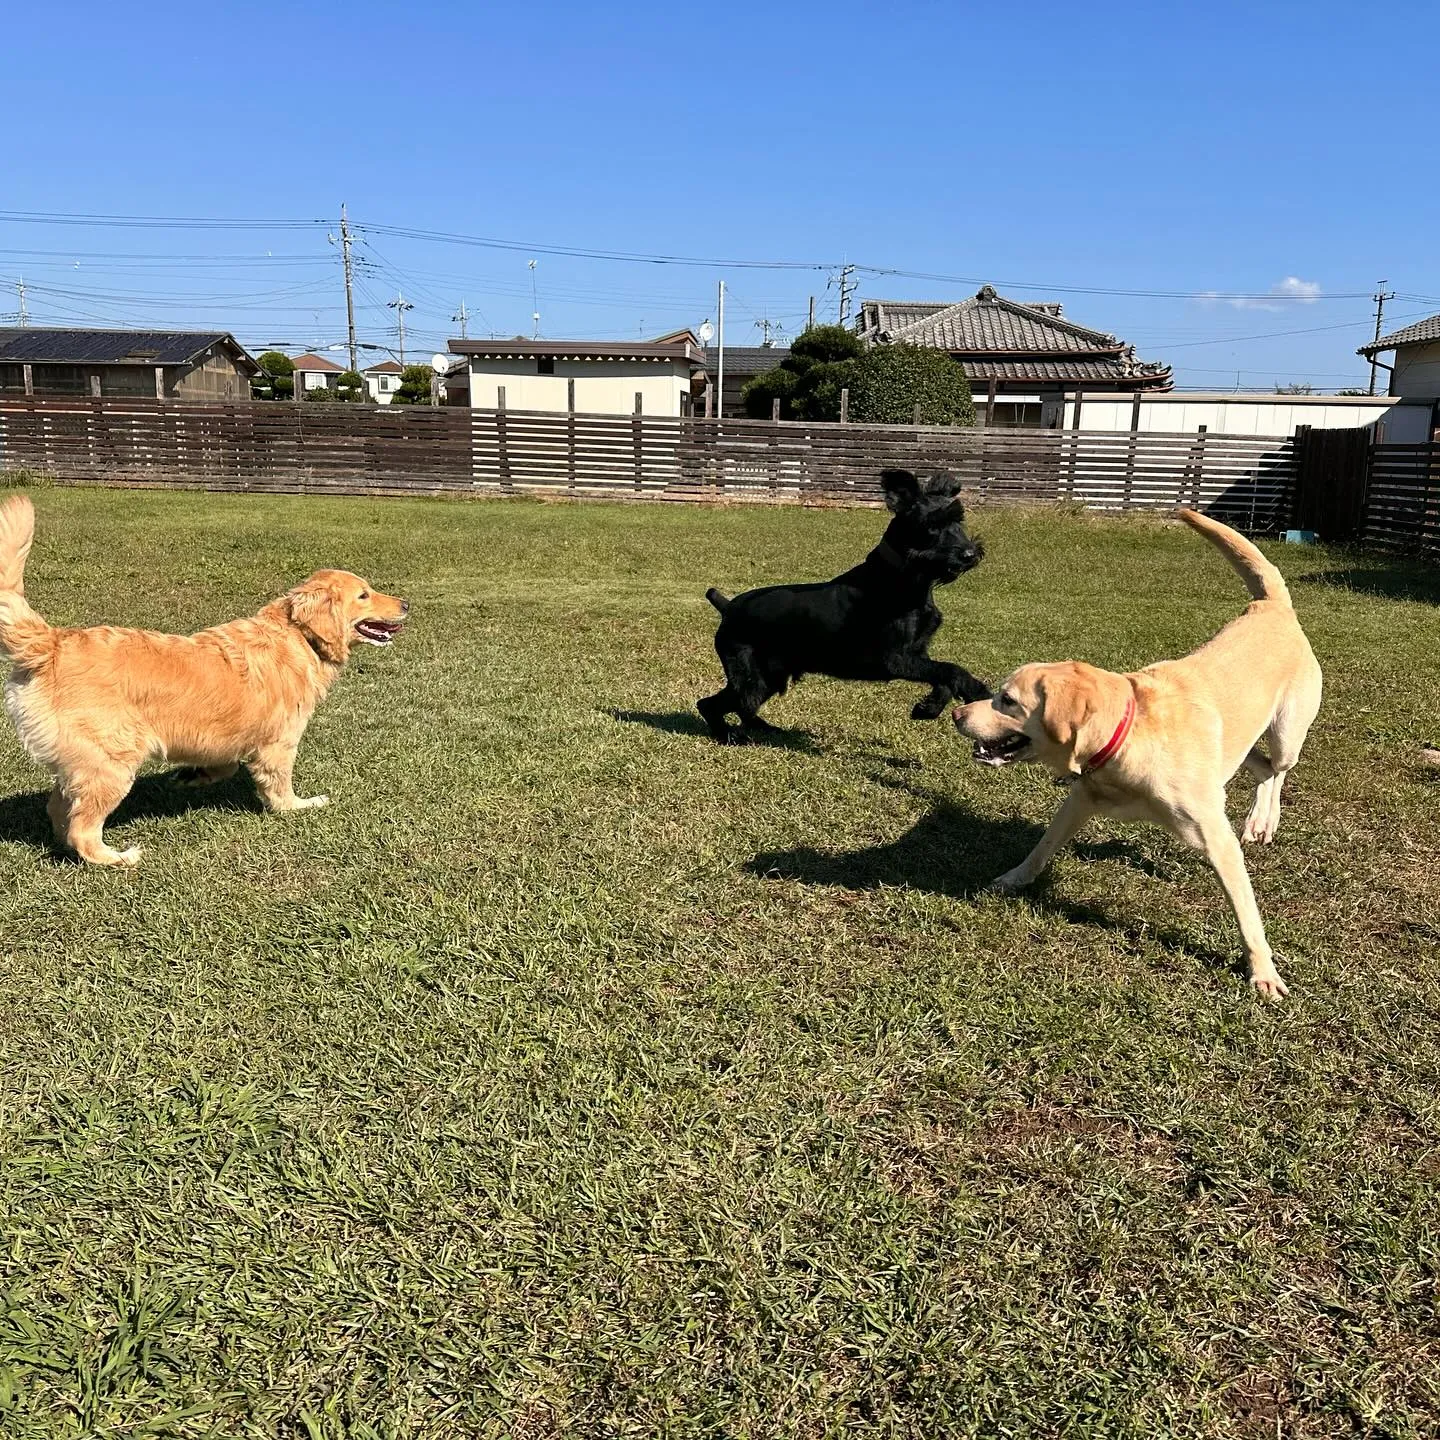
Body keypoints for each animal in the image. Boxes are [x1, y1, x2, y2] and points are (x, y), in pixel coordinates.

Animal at [696, 469, 990, 743]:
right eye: (930, 525)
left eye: (959, 519)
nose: (969, 554)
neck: (902, 579)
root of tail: (728, 607)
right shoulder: (896, 659)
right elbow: (951, 669)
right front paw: (978, 691)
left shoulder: (918, 653)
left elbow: (943, 677)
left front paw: (928, 707)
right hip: (752, 679)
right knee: (713, 704)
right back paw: (729, 736)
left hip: (770, 677)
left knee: (737, 707)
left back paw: (764, 728)